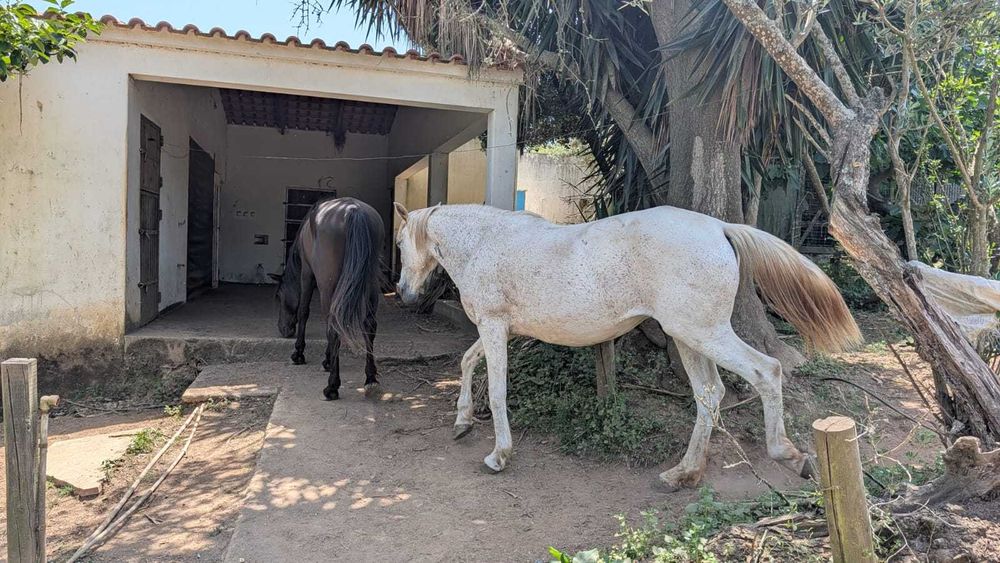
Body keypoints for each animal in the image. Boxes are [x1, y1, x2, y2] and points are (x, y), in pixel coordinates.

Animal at [271, 197, 385, 401]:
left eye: (278, 296)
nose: (283, 329)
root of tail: (353, 210)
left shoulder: (307, 274)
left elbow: (304, 312)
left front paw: (299, 353)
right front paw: (327, 359)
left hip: (327, 285)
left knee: (334, 327)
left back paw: (332, 386)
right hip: (371, 284)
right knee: (369, 325)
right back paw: (371, 379)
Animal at [392, 202, 861, 490]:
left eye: (398, 243)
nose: (404, 294)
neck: (484, 243)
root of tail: (719, 228)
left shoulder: (493, 326)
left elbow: (496, 389)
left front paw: (498, 454)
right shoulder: (504, 330)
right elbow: (466, 362)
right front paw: (462, 422)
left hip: (705, 333)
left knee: (766, 371)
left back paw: (789, 455)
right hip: (688, 337)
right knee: (709, 394)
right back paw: (683, 473)